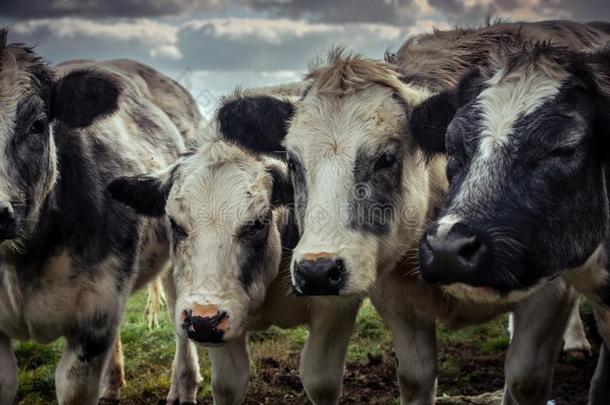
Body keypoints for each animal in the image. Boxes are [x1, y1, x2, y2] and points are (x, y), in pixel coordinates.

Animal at [107, 121, 360, 402]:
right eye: (174, 222)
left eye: (258, 222)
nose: (203, 320)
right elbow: (228, 385)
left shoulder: (337, 308)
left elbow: (320, 382)